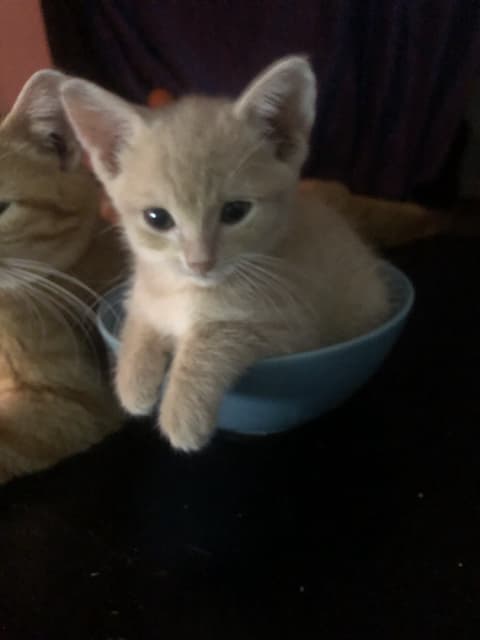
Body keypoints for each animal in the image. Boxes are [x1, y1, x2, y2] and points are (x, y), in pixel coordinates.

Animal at [59, 56, 399, 452]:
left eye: (235, 212)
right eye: (157, 218)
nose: (199, 262)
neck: (187, 292)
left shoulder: (291, 332)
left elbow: (217, 336)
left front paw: (181, 414)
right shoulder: (146, 290)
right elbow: (140, 318)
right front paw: (133, 381)